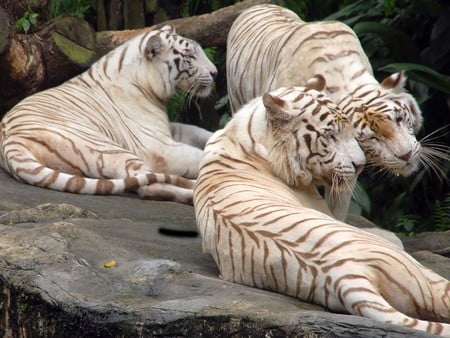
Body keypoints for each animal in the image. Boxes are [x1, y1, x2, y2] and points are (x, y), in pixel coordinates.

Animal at [0, 24, 218, 203]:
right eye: (190, 56)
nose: (215, 72)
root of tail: (10, 144)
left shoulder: (167, 129)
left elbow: (198, 131)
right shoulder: (158, 147)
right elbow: (200, 156)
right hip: (107, 148)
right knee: (148, 186)